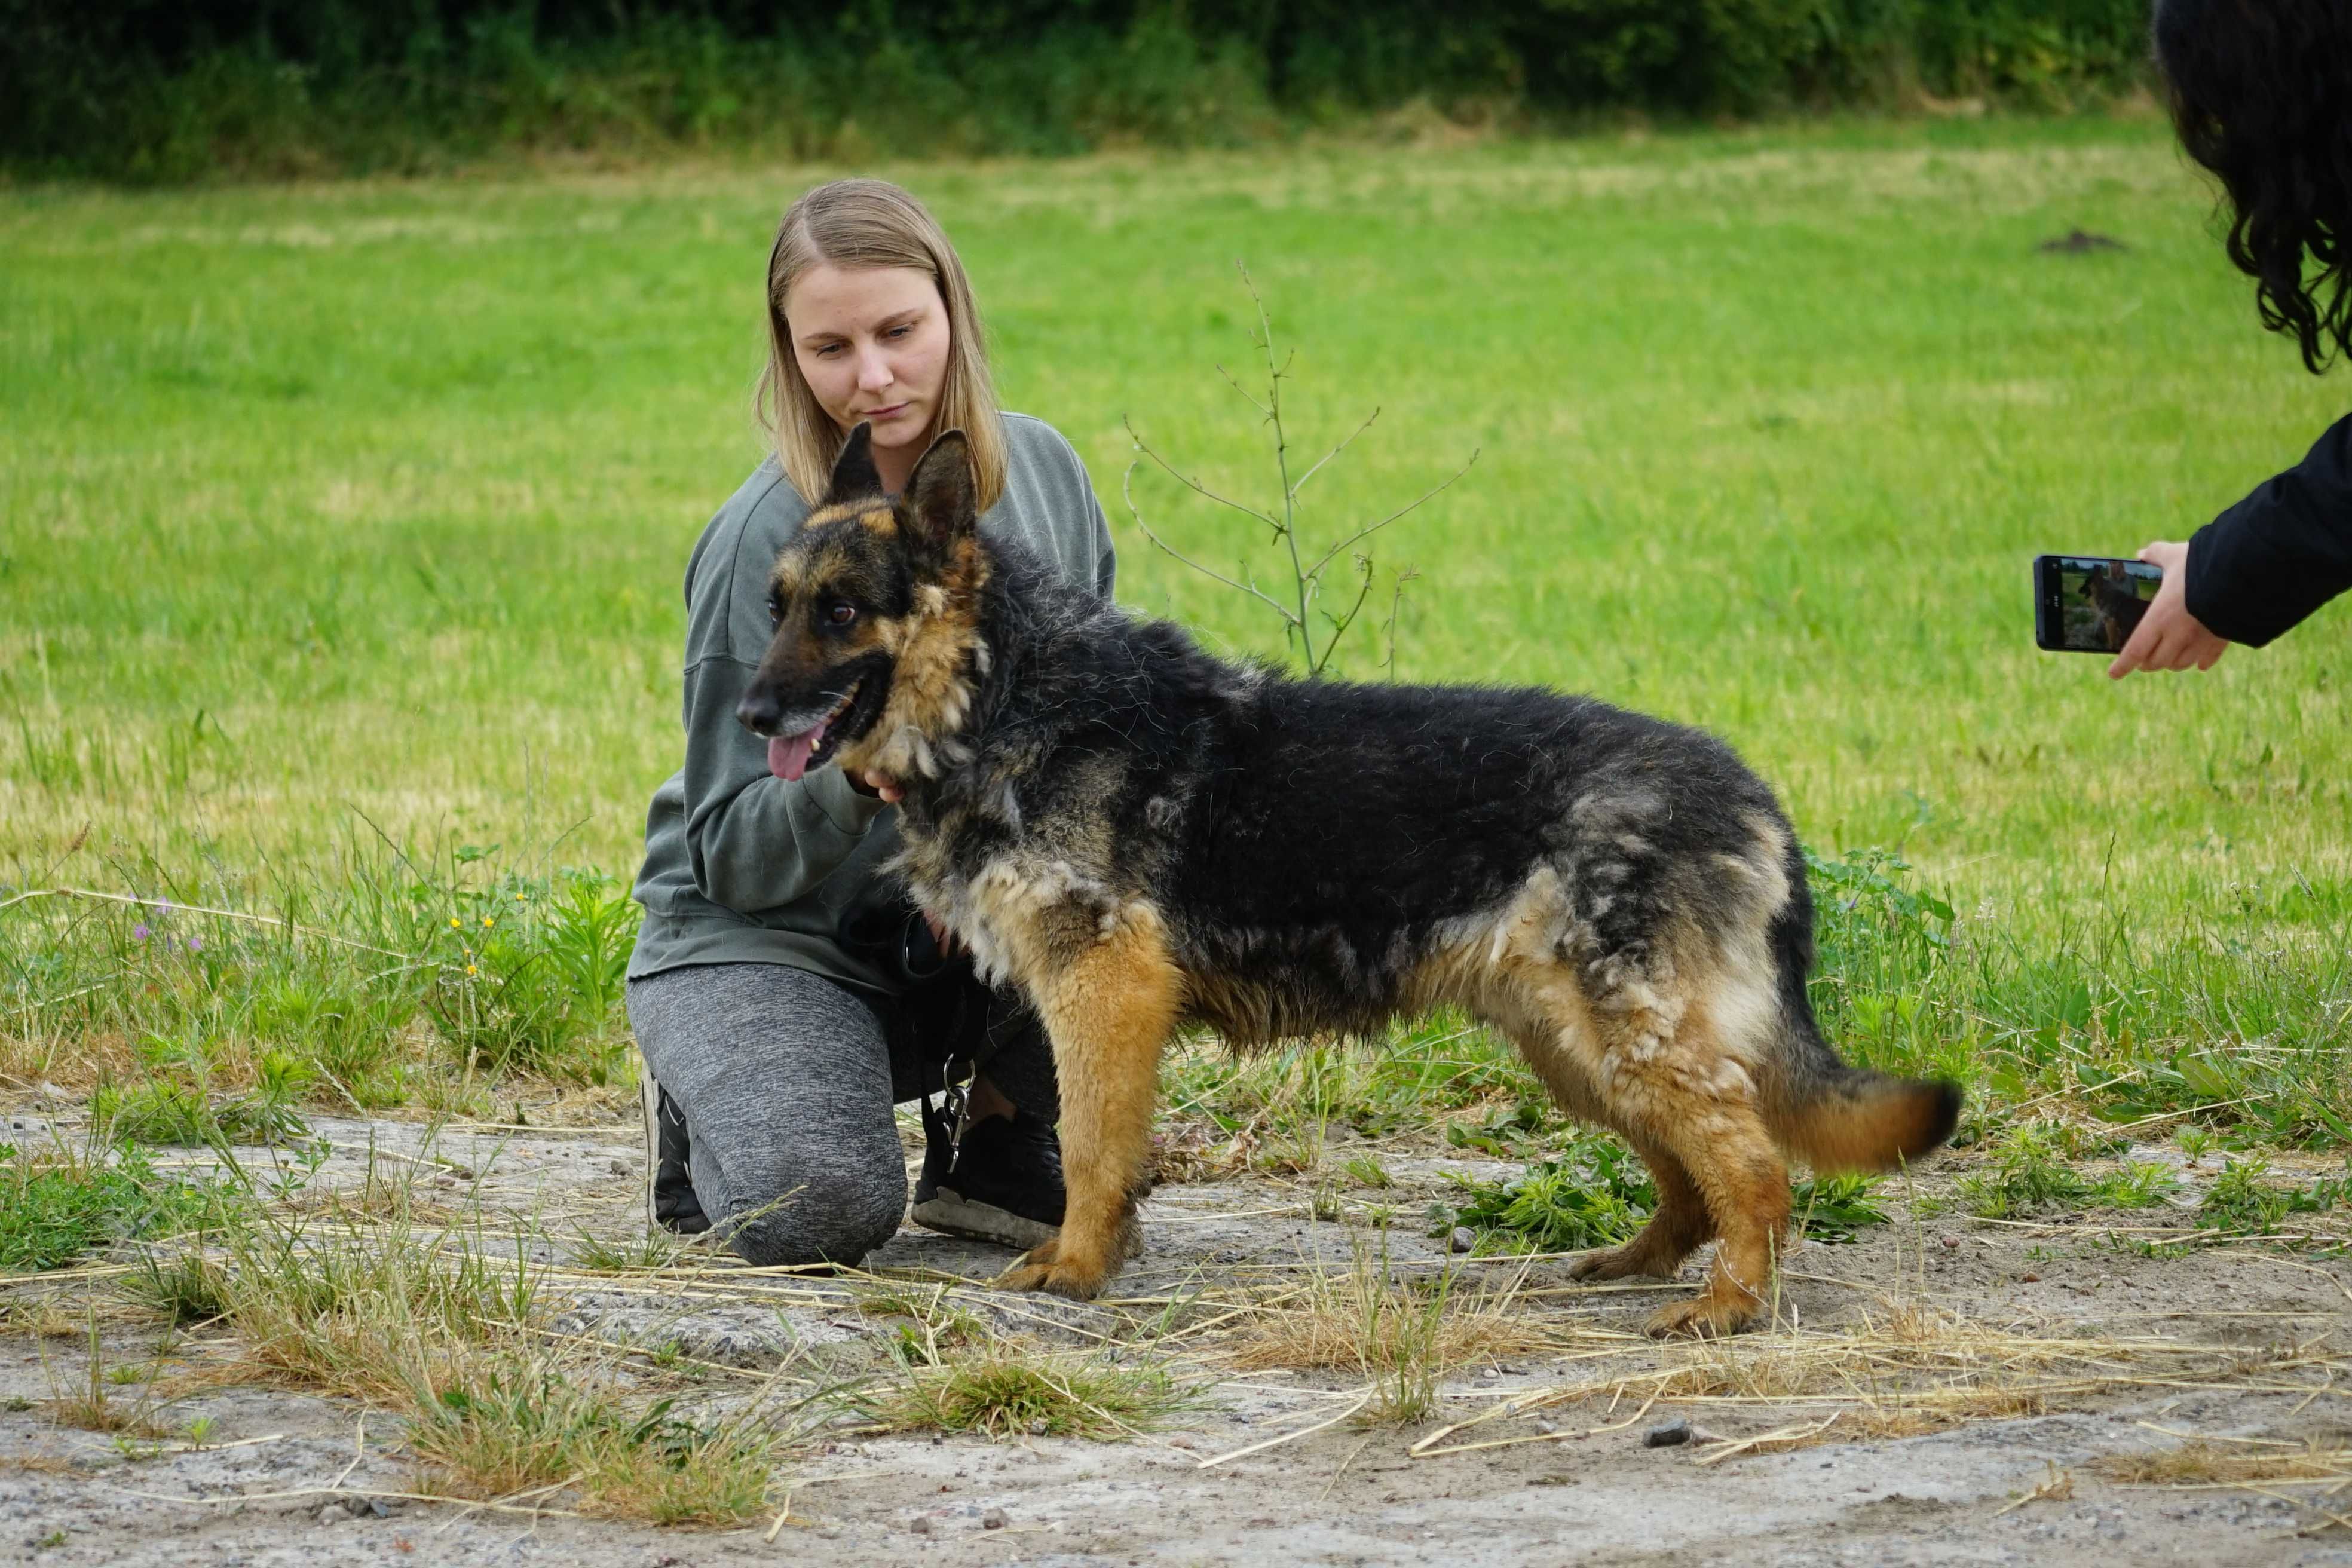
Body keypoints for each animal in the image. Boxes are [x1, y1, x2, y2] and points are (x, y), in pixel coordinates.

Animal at [743, 430, 1956, 1335]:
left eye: (841, 610)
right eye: (776, 605)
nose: (749, 714)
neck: (1007, 690)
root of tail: (1753, 791)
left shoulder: (1102, 991)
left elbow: (1092, 1144)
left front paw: (1078, 1268)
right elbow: (1110, 1147)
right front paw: (1102, 1253)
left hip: (1624, 1033)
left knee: (1750, 1166)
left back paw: (1728, 1306)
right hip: (1577, 1044)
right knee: (1690, 1170)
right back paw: (1641, 1261)